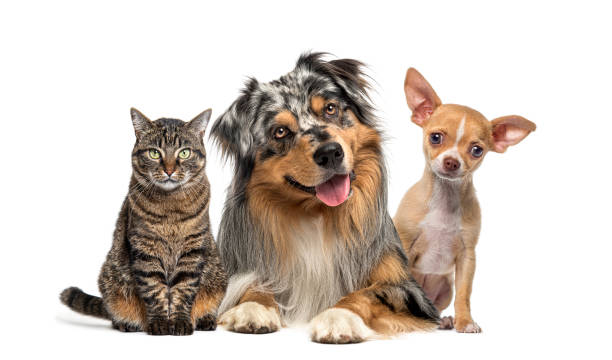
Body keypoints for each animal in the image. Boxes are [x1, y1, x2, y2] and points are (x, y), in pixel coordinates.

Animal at [60, 107, 227, 334]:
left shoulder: (192, 250)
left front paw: (180, 322)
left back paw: (205, 319)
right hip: (110, 279)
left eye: (184, 152)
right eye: (154, 153)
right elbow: (154, 289)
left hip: (218, 277)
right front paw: (160, 323)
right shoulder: (145, 248)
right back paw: (126, 323)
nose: (169, 170)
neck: (171, 208)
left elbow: (183, 289)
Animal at [210, 53, 440, 344]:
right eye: (280, 131)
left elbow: (369, 293)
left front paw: (339, 316)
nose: (330, 153)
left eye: (330, 109)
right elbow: (252, 285)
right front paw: (253, 307)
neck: (317, 214)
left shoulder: (408, 288)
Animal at [394, 69, 532, 334]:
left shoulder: (467, 257)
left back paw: (443, 320)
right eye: (435, 138)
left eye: (477, 150)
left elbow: (464, 294)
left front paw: (465, 321)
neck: (445, 199)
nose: (451, 161)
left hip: (444, 287)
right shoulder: (404, 244)